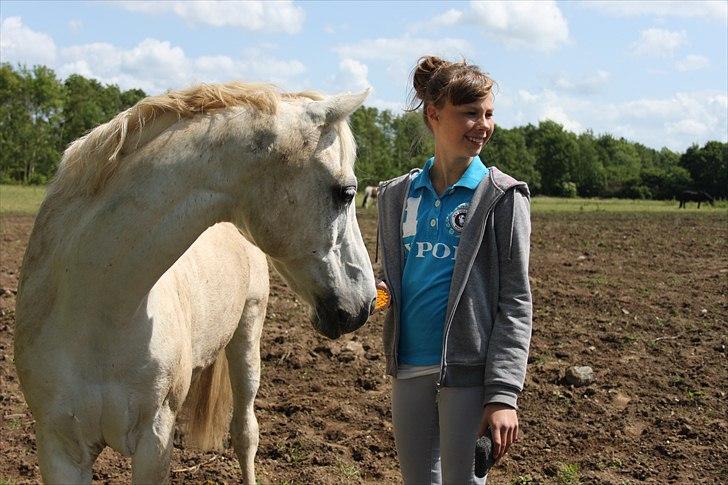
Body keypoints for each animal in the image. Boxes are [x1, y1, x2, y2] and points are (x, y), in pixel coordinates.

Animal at [14, 81, 377, 484]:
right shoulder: (59, 449)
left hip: (248, 336)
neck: (96, 316)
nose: (364, 304)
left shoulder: (154, 440)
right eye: (345, 192)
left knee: (245, 432)